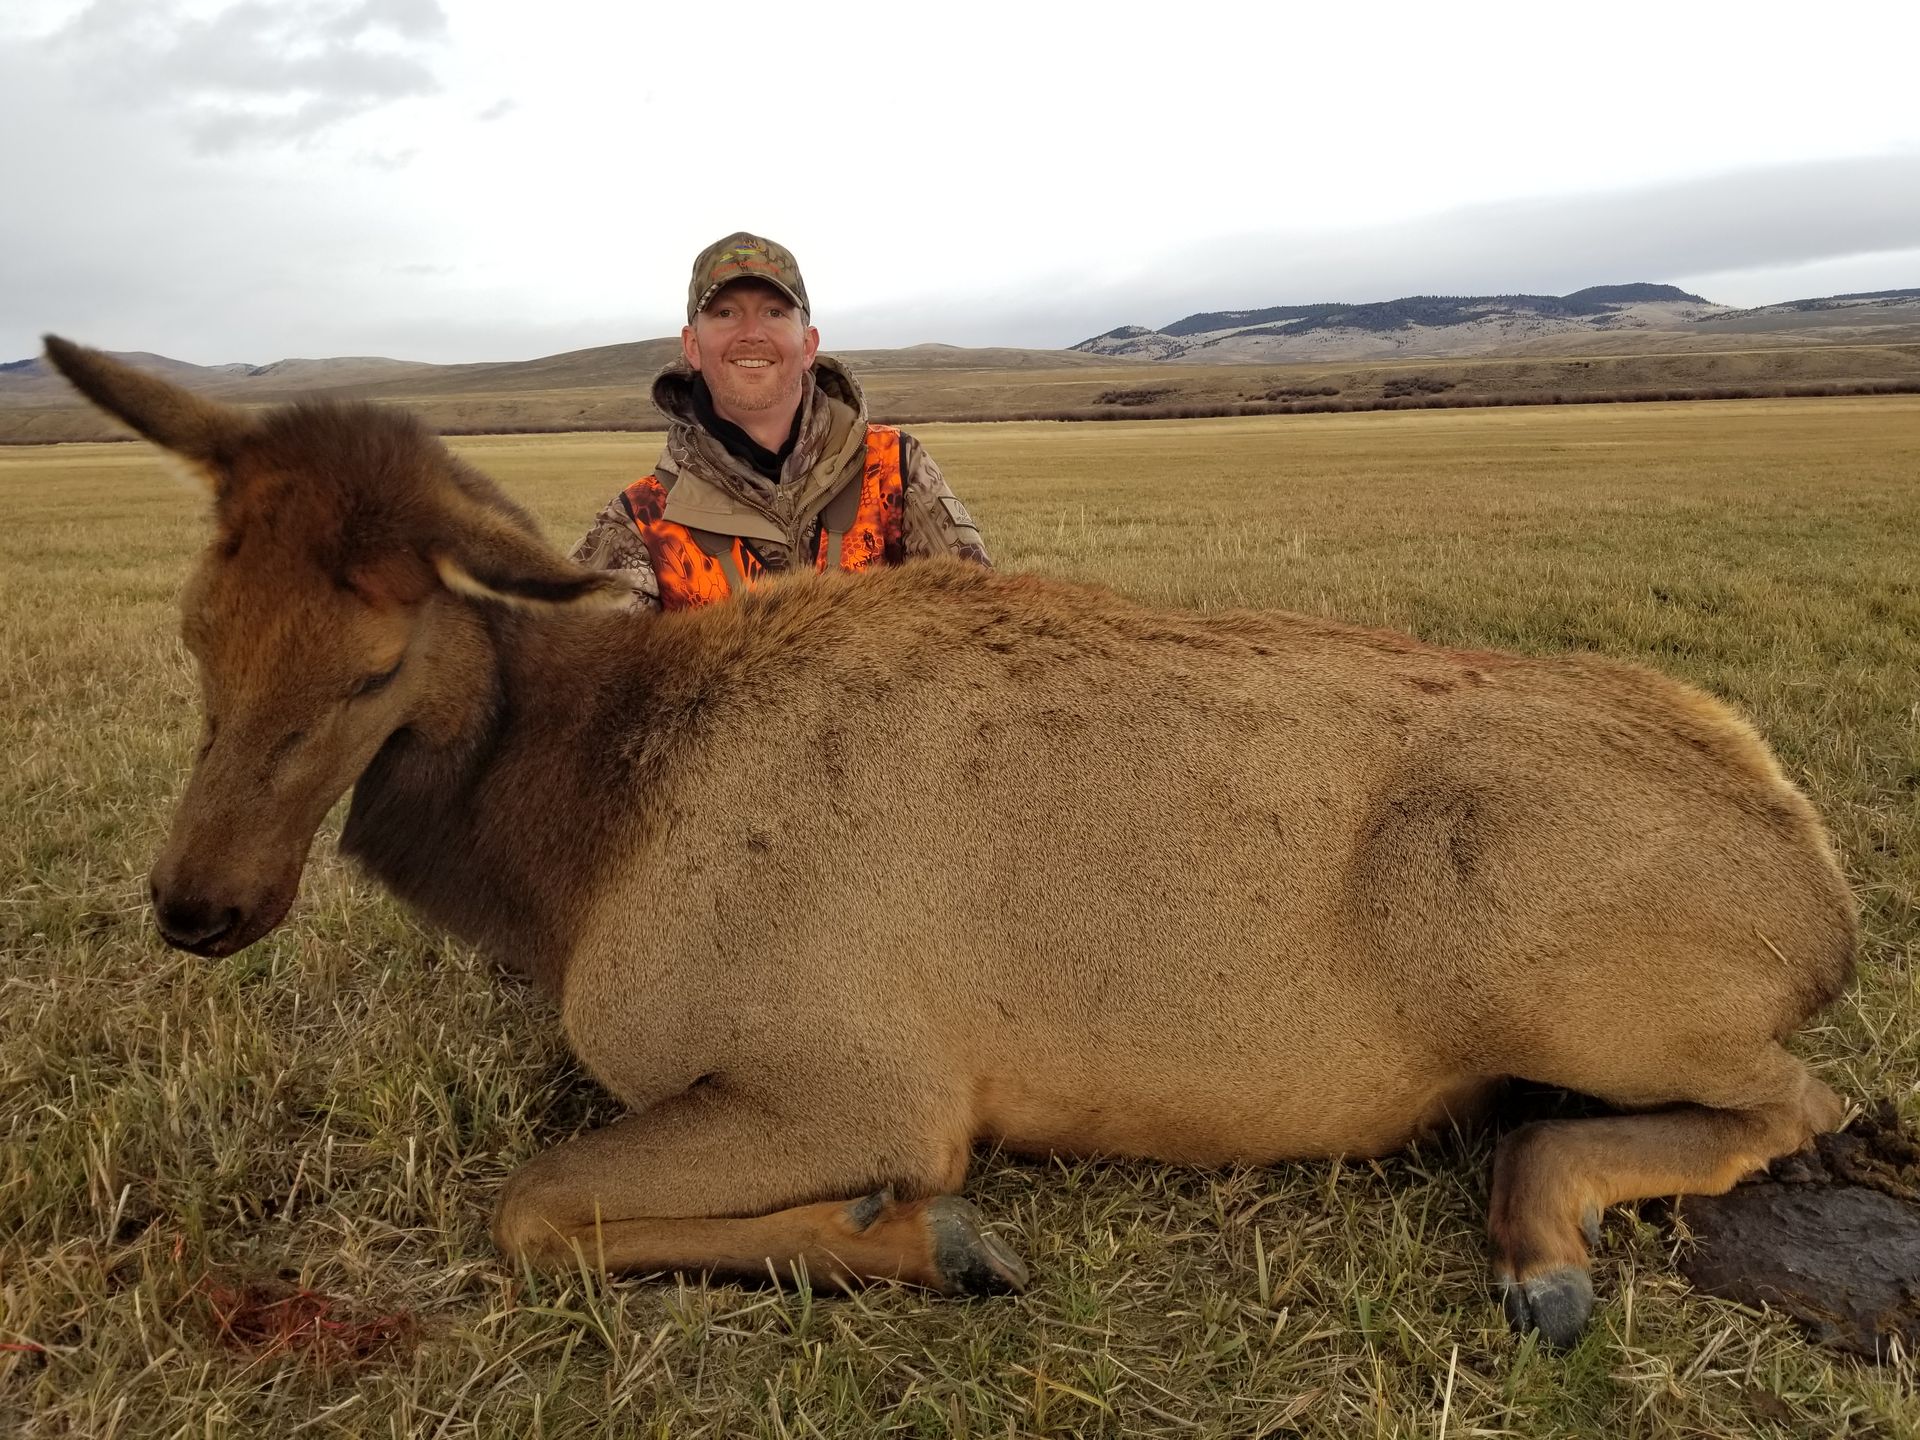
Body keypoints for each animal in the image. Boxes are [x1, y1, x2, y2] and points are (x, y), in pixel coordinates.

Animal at [43, 336, 1856, 1348]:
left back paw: (1545, 1247)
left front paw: (931, 1240)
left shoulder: (865, 1079)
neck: (581, 837)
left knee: (1800, 1098)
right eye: (197, 628)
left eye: (367, 667)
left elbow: (534, 1208)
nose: (199, 902)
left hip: (1548, 968)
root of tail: (1820, 892)